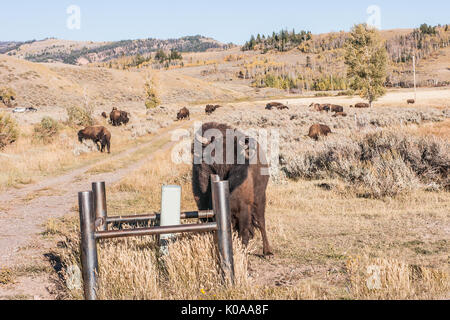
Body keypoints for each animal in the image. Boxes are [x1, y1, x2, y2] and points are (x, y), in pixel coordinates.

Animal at [192, 121, 272, 256]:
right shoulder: (203, 208)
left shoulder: (243, 208)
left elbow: (244, 233)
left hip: (260, 198)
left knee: (261, 223)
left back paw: (268, 252)